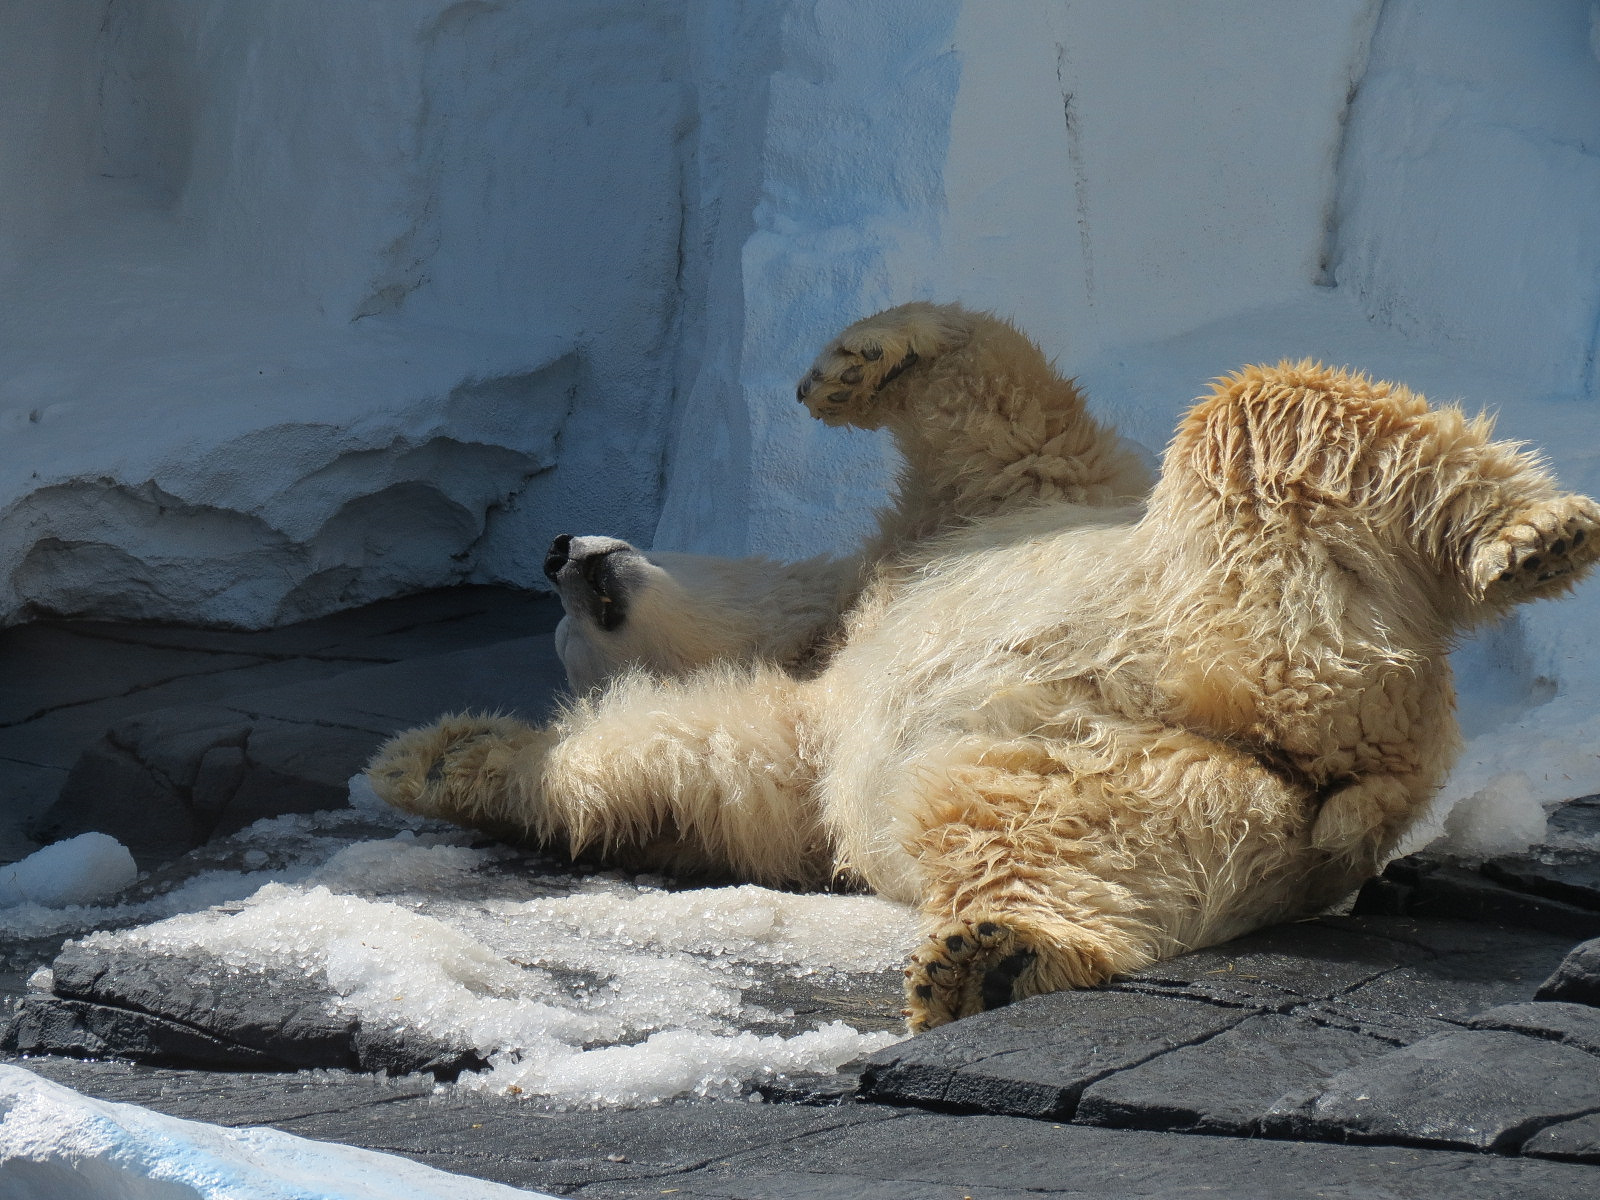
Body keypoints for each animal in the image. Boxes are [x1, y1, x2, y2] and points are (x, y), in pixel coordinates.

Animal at [367, 303, 1600, 1032]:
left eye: (572, 615)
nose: (559, 552)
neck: (828, 623)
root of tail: (1355, 762)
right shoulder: (803, 741)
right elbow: (680, 766)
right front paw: (436, 757)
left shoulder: (972, 520)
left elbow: (1003, 418)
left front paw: (850, 364)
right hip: (1160, 773)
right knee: (1024, 825)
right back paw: (995, 957)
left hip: (1226, 580)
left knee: (1271, 408)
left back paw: (1533, 534)